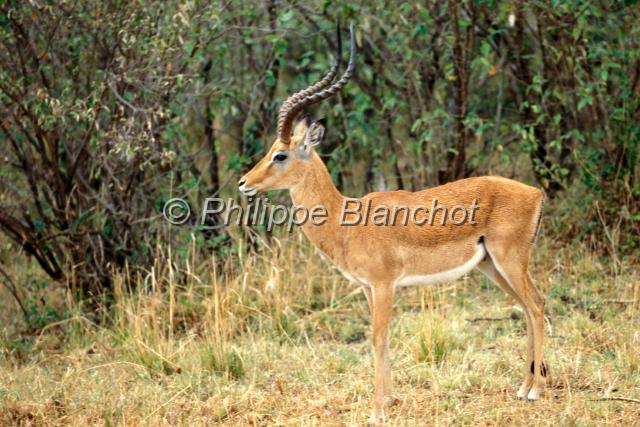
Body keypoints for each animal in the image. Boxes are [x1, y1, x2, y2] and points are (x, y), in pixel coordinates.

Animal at [239, 23, 547, 423]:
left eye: (280, 154)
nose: (243, 182)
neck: (347, 220)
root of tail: (535, 192)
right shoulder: (368, 288)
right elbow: (379, 339)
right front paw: (388, 402)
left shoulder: (384, 284)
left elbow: (378, 337)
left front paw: (377, 412)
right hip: (491, 267)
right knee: (526, 308)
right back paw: (522, 387)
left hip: (510, 261)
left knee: (537, 306)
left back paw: (535, 390)